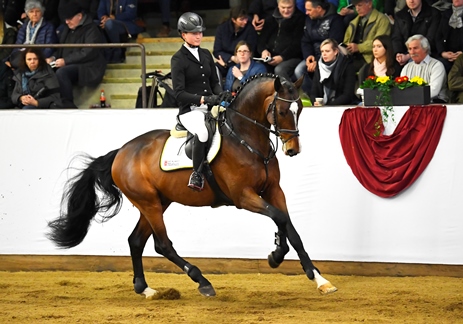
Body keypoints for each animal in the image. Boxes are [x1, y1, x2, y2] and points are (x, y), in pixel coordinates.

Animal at [47, 73, 338, 298]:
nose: (293, 150)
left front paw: (317, 278)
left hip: (157, 201)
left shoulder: (273, 191)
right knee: (162, 245)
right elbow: (278, 217)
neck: (247, 139)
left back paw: (144, 288)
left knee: (136, 240)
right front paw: (277, 254)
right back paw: (203, 282)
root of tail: (121, 152)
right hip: (149, 203)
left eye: (300, 109)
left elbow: (289, 226)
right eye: (281, 111)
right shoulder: (243, 197)